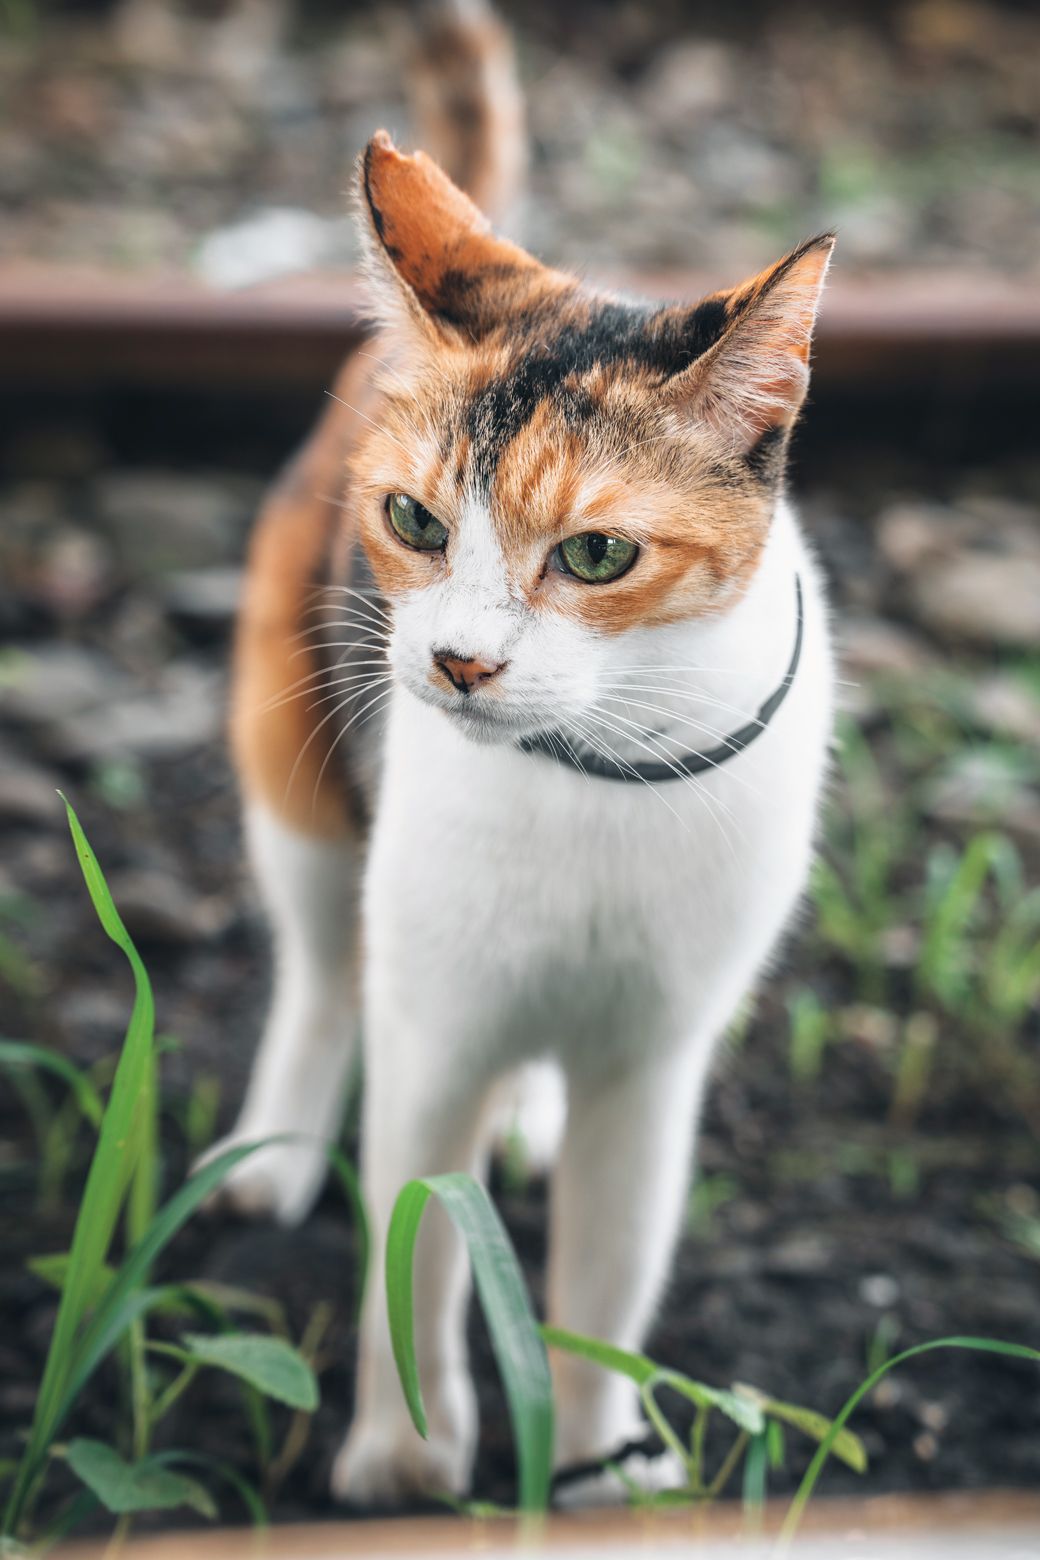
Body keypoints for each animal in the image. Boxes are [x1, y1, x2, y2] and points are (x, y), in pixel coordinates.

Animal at [202, 0, 835, 1510]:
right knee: (322, 969)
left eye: (597, 554)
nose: (458, 665)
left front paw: (604, 1459)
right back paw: (275, 1150)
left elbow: (607, 1277)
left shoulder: (655, 1062)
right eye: (416, 523)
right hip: (300, 779)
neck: (588, 778)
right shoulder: (431, 1032)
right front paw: (407, 1460)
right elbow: (418, 1250)